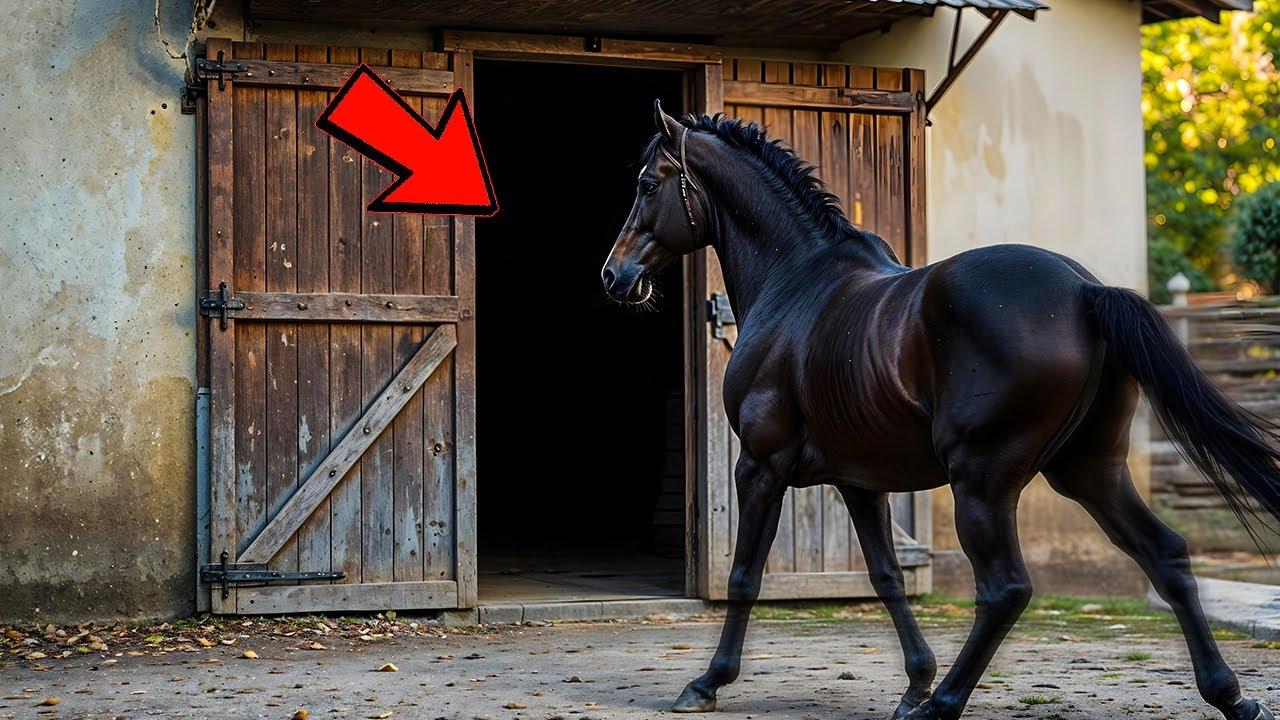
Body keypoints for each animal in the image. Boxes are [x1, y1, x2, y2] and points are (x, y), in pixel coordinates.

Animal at [600, 101, 1280, 720]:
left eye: (648, 184)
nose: (614, 275)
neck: (796, 285)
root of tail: (1086, 291)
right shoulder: (859, 482)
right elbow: (887, 576)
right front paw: (914, 683)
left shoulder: (761, 467)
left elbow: (744, 575)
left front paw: (707, 682)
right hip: (1089, 471)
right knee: (1167, 556)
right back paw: (1230, 696)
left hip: (981, 481)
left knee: (1005, 589)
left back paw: (947, 703)